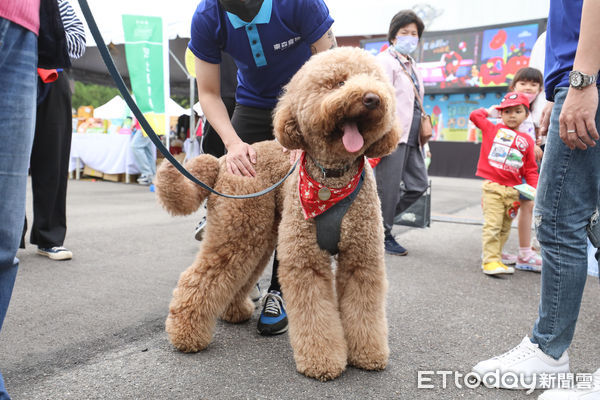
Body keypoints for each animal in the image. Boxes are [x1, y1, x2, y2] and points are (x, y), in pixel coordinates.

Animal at [156, 47, 398, 382]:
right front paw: (322, 361)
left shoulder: (362, 260)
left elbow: (365, 310)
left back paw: (235, 311)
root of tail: (225, 162)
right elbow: (315, 316)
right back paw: (185, 335)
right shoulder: (306, 261)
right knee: (201, 277)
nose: (372, 98)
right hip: (239, 232)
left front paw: (368, 354)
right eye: (337, 82)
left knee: (241, 275)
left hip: (260, 235)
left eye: (376, 81)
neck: (331, 179)